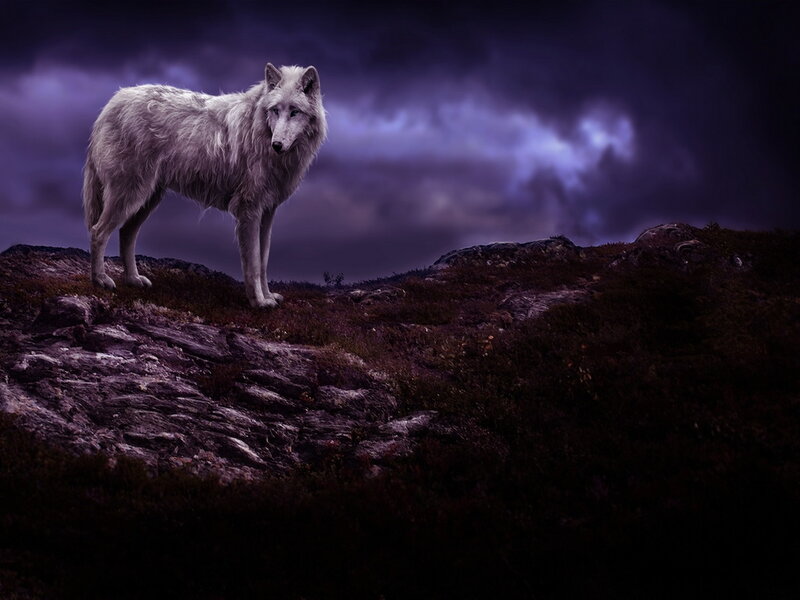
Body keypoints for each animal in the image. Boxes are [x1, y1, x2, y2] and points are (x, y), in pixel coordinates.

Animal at [82, 64, 327, 307]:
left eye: (294, 111)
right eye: (275, 110)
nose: (277, 145)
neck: (258, 130)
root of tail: (111, 103)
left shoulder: (267, 212)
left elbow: (264, 261)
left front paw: (268, 297)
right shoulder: (248, 211)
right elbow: (254, 265)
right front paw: (258, 302)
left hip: (146, 200)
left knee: (126, 233)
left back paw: (133, 279)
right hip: (130, 196)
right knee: (98, 231)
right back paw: (100, 280)